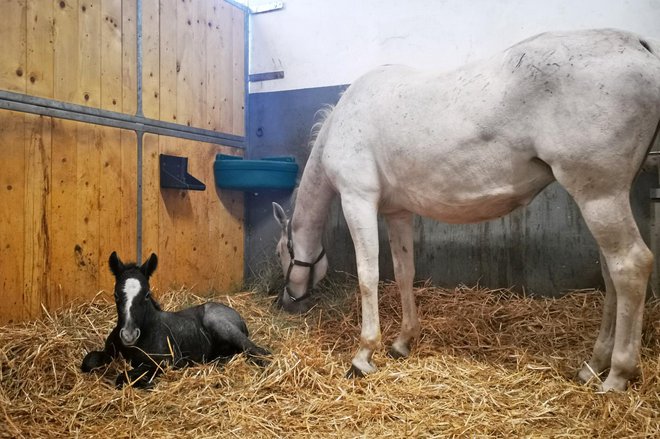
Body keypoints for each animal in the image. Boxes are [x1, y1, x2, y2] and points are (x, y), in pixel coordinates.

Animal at [81, 251, 270, 388]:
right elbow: (88, 362)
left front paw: (146, 384)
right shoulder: (109, 352)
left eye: (147, 295)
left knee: (259, 351)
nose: (129, 335)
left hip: (221, 325)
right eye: (116, 295)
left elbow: (125, 376)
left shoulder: (168, 360)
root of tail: (236, 314)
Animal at [270, 29, 656, 394]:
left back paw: (617, 375)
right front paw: (402, 341)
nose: (285, 302)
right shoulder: (398, 213)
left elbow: (369, 277)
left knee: (630, 266)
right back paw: (593, 366)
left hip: (600, 197)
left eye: (280, 254)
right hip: (606, 199)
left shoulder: (357, 199)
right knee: (611, 273)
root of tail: (638, 44)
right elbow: (404, 272)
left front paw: (364, 355)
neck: (343, 120)